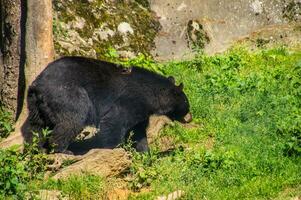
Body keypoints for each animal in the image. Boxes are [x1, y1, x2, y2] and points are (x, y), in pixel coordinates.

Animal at [24, 56, 191, 153]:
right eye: (186, 103)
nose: (190, 118)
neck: (150, 95)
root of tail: (38, 85)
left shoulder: (141, 111)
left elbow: (138, 132)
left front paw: (145, 155)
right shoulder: (128, 102)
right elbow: (114, 124)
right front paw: (109, 148)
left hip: (35, 106)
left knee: (35, 128)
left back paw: (37, 149)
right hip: (67, 95)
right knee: (72, 120)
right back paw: (63, 150)